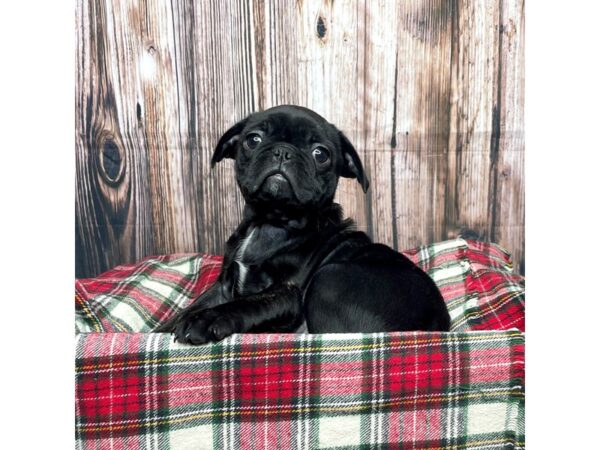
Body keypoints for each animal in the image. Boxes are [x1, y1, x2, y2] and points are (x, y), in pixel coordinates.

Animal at [157, 106, 448, 344]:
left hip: (328, 278)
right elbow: (191, 306)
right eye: (253, 140)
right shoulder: (224, 285)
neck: (269, 221)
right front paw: (163, 328)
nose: (283, 151)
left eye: (320, 154)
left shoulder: (287, 293)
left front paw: (208, 319)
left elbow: (247, 303)